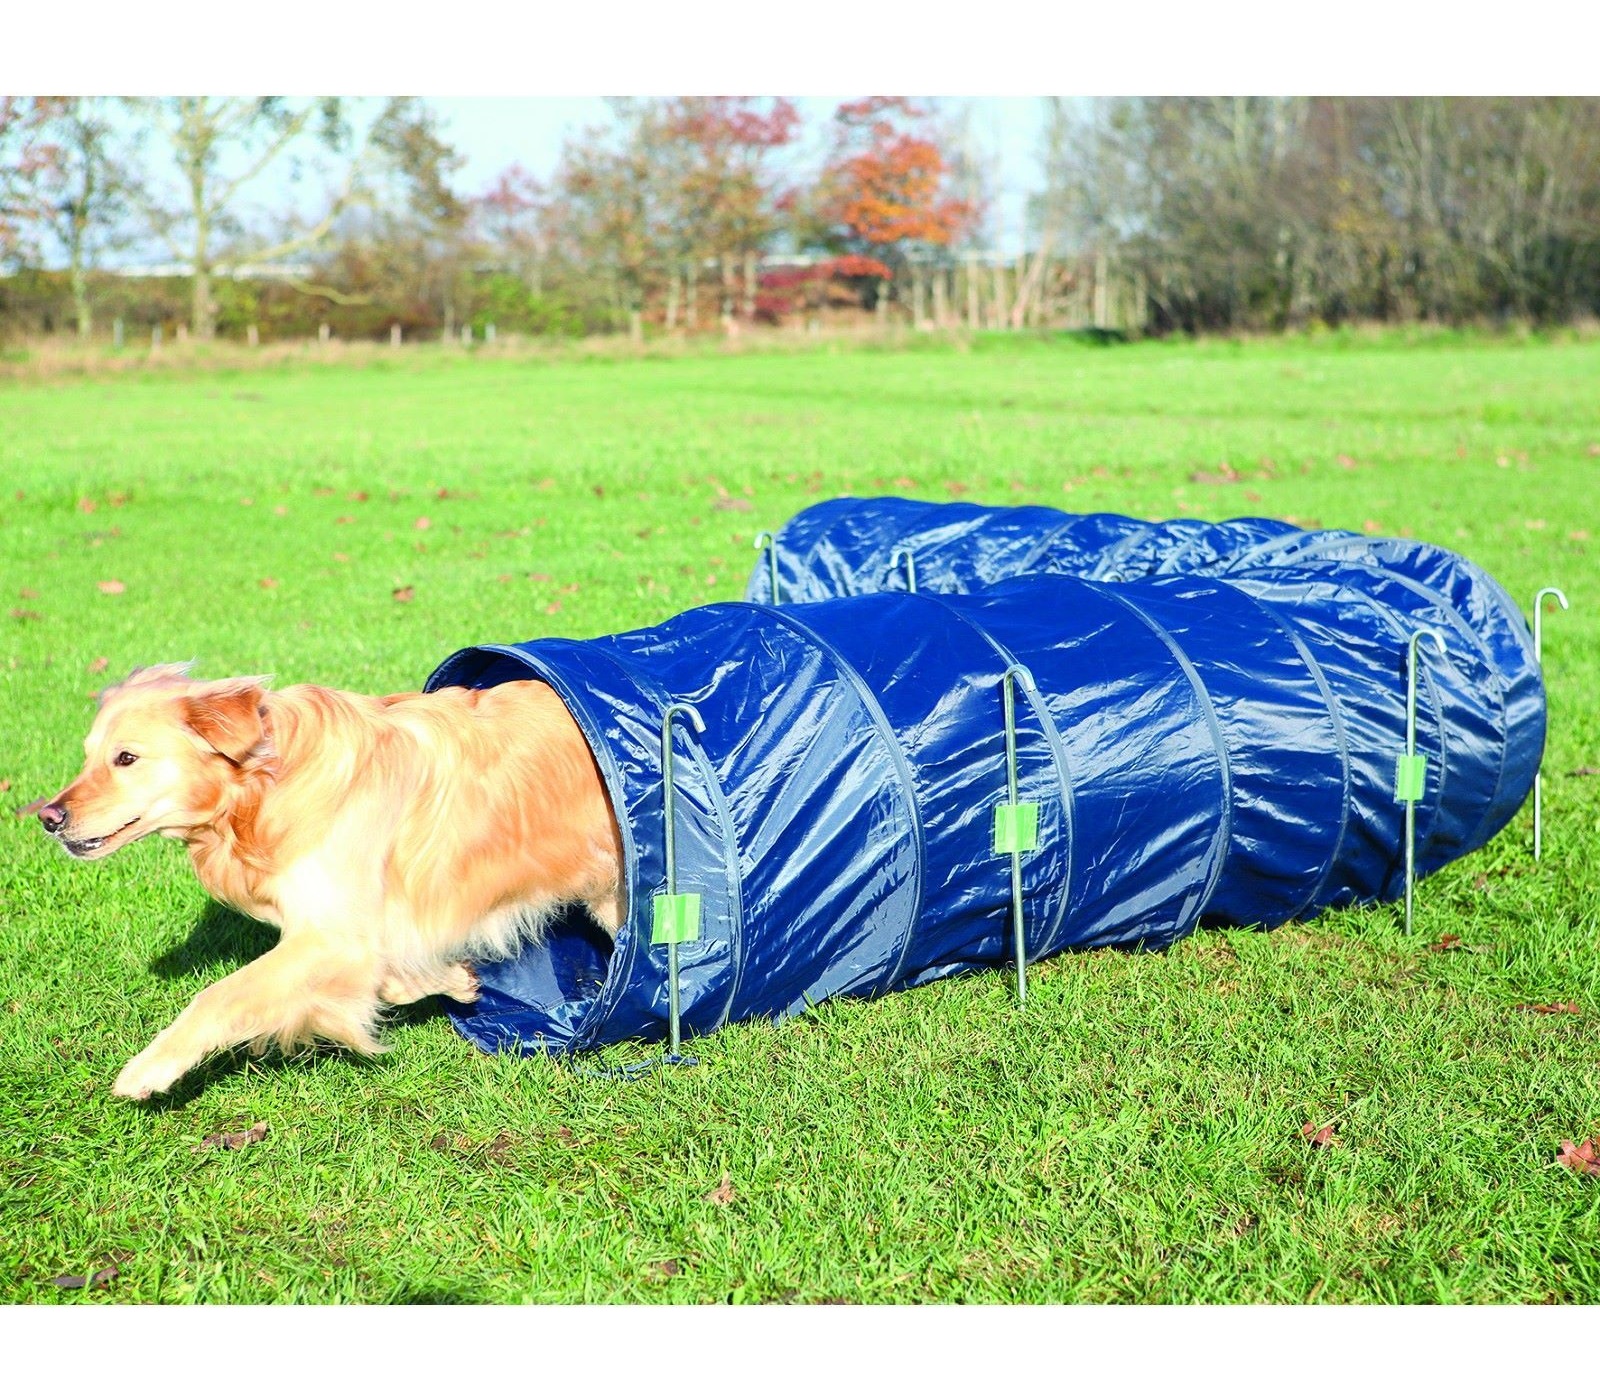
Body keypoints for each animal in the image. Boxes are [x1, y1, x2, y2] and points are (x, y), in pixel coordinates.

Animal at [37, 662, 624, 1100]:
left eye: (127, 758)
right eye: (88, 757)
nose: (47, 817)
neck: (265, 790)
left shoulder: (332, 935)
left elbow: (219, 996)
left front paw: (148, 1067)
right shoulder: (354, 933)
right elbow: (388, 975)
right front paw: (454, 979)